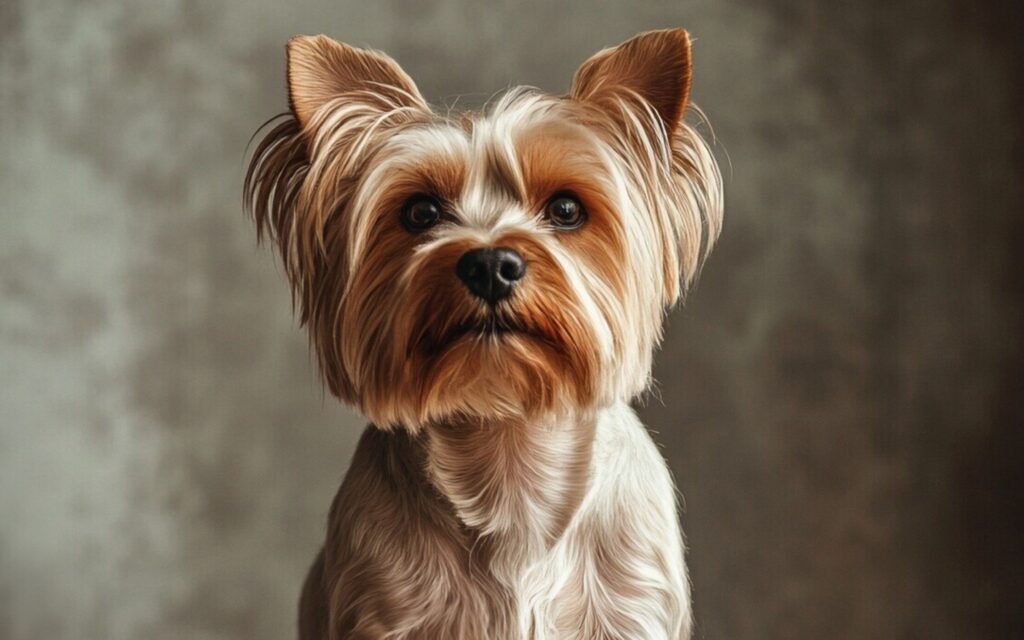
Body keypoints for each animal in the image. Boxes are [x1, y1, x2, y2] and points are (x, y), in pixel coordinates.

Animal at [241, 27, 720, 634]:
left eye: (566, 209)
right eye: (420, 213)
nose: (490, 265)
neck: (507, 444)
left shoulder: (632, 607)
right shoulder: (383, 607)